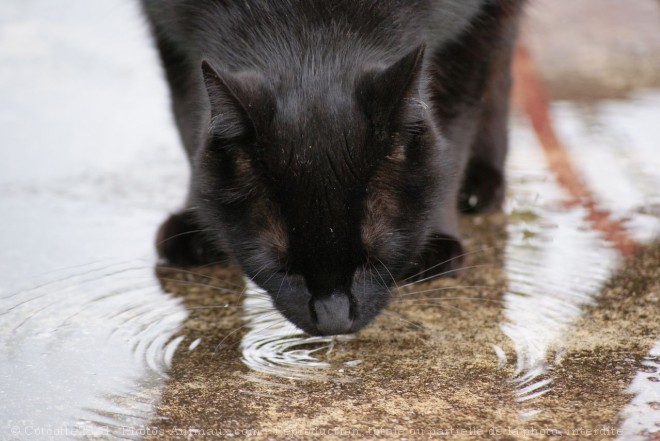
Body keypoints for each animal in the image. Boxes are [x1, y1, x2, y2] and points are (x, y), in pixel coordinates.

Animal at [142, 0, 524, 334]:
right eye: (280, 267)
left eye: (375, 258)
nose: (333, 320)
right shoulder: (167, 26)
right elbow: (188, 115)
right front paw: (196, 224)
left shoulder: (473, 25)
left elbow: (453, 126)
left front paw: (435, 240)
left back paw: (482, 182)